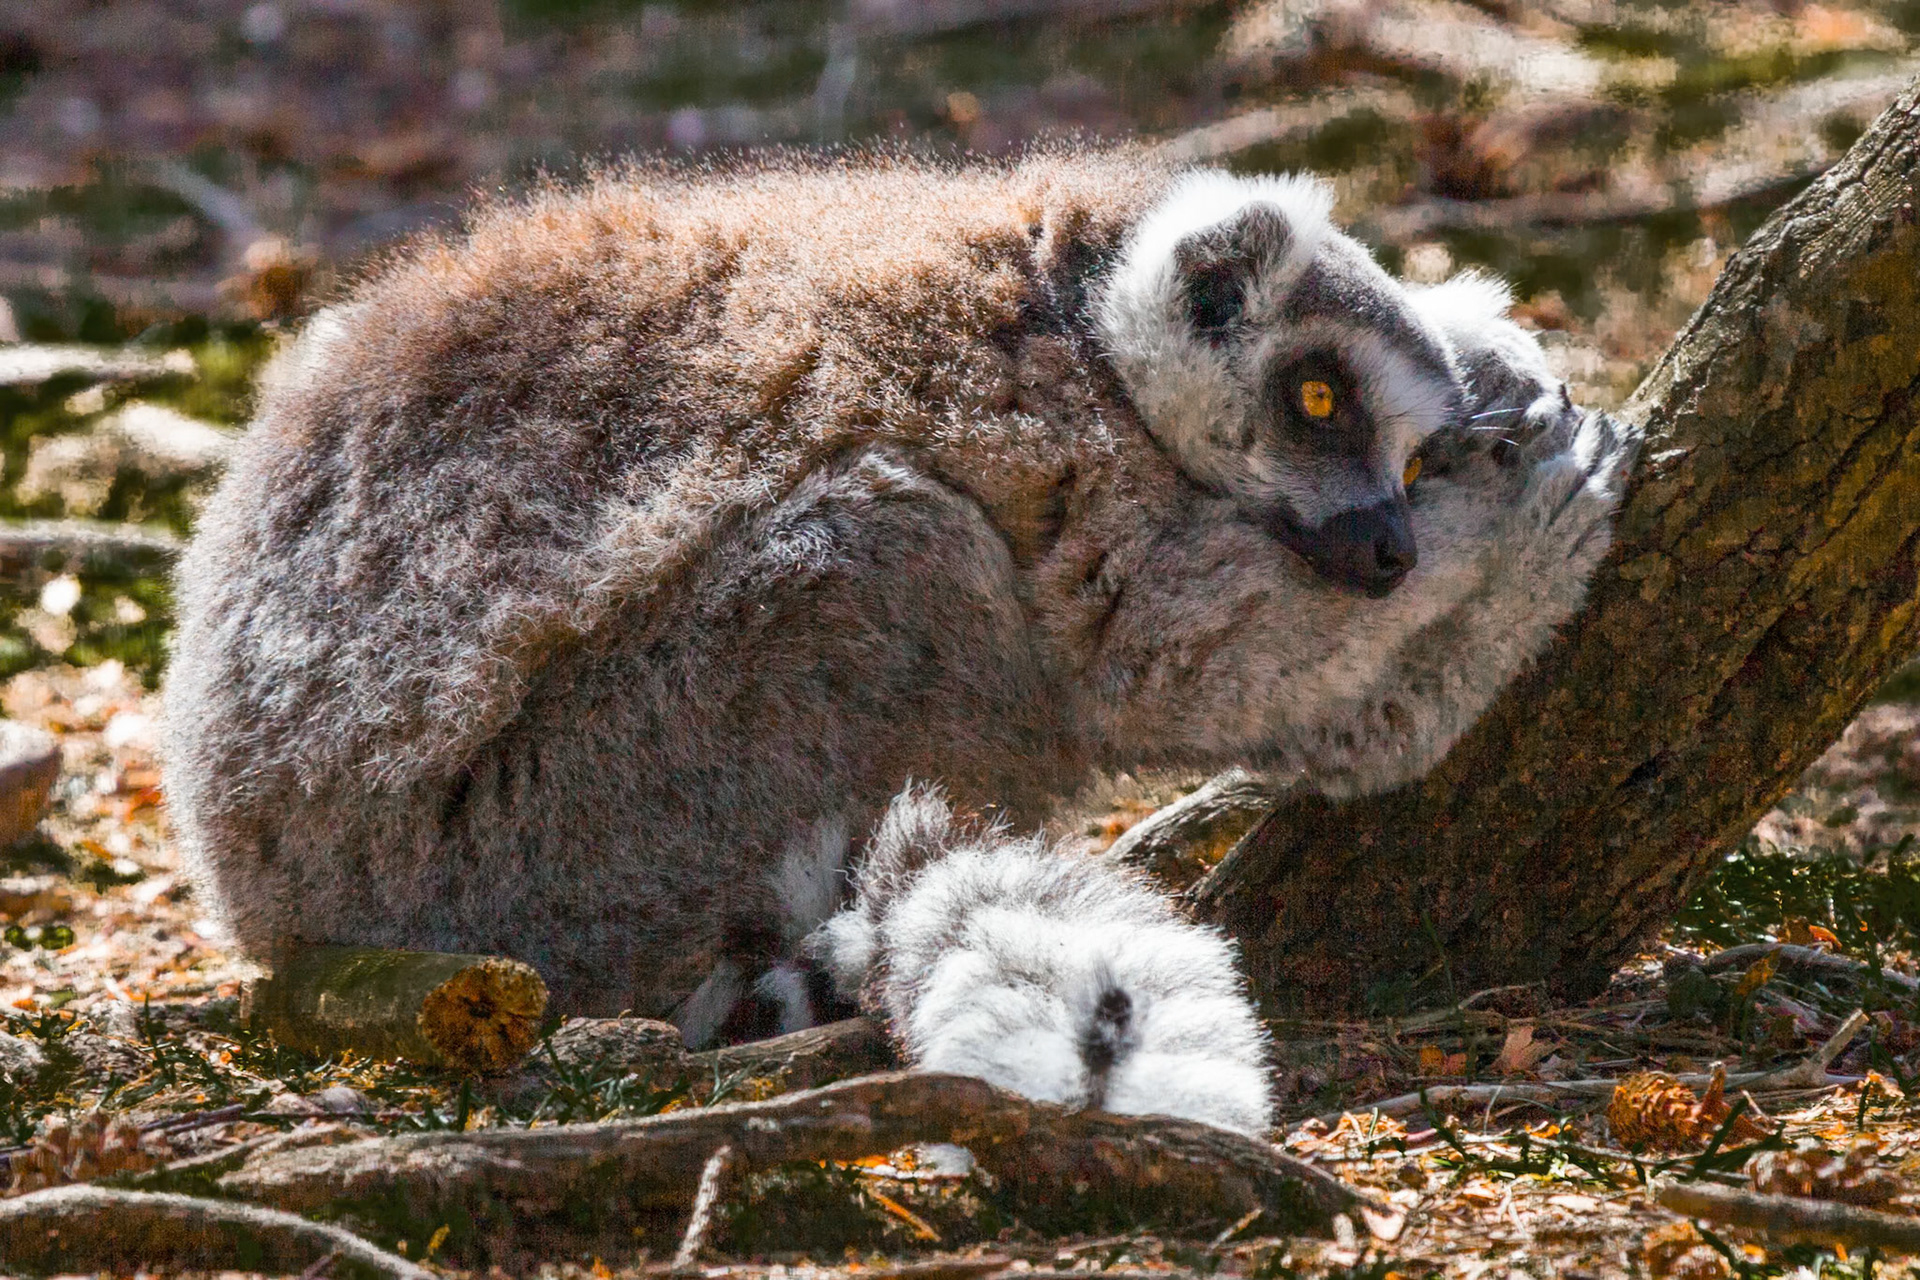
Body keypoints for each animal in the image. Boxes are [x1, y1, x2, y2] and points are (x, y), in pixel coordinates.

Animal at [162, 149, 1635, 1136]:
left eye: (1411, 448)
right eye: (1319, 398)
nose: (1390, 551)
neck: (1067, 295)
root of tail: (269, 896)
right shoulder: (1053, 441)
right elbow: (1164, 659)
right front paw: (1514, 543)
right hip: (563, 846)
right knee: (895, 548)